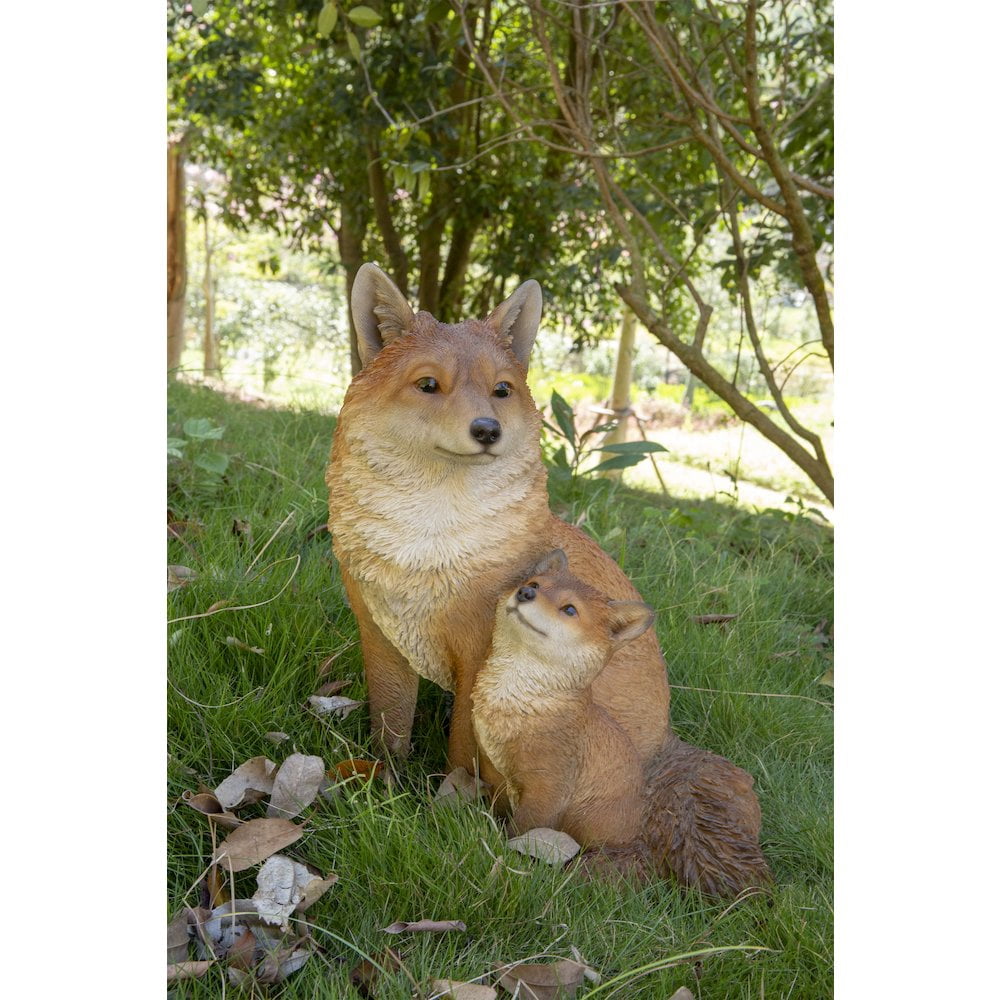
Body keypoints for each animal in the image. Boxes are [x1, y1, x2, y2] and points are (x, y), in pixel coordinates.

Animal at [325, 263, 671, 791]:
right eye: (428, 385)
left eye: (501, 391)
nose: (487, 429)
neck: (424, 547)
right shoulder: (381, 635)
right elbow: (391, 724)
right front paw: (385, 781)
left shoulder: (480, 654)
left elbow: (463, 748)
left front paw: (450, 799)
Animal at [472, 549, 772, 898]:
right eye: (534, 583)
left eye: (570, 609)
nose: (525, 593)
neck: (520, 705)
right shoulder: (494, 766)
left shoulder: (550, 784)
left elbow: (521, 827)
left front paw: (502, 850)